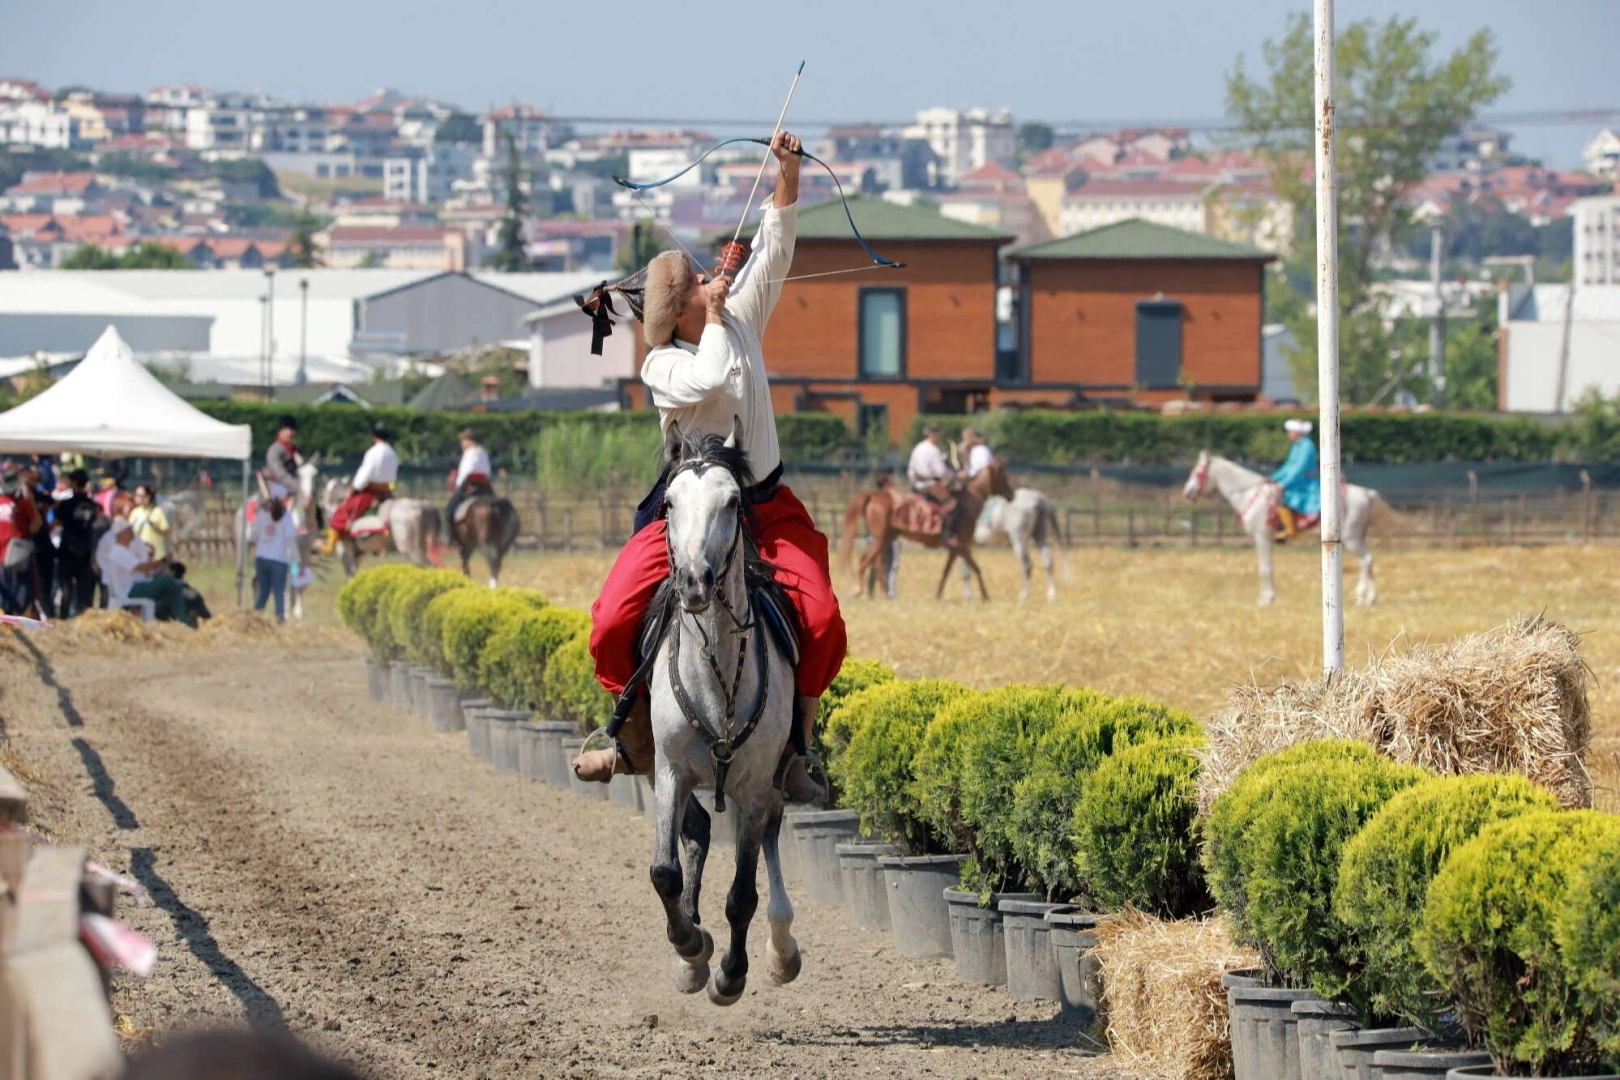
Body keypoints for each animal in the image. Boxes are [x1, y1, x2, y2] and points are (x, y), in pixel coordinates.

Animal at [835, 463, 1010, 605]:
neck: (968, 503)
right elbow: (975, 568)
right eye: (1004, 477)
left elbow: (947, 570)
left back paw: (885, 594)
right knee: (866, 560)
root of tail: (873, 495)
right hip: (880, 539)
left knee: (877, 564)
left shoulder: (955, 549)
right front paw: (986, 596)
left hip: (886, 539)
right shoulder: (961, 545)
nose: (1011, 494)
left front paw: (938, 595)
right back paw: (859, 590)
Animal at [1185, 450, 1386, 608]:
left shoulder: (1262, 536)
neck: (1250, 494)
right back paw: (1367, 598)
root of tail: (1366, 493)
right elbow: (1267, 566)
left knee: (1366, 561)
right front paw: (1269, 596)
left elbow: (1265, 567)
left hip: (1351, 538)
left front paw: (1266, 599)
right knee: (1367, 562)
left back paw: (1364, 596)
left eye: (1197, 472)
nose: (1187, 493)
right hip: (1357, 538)